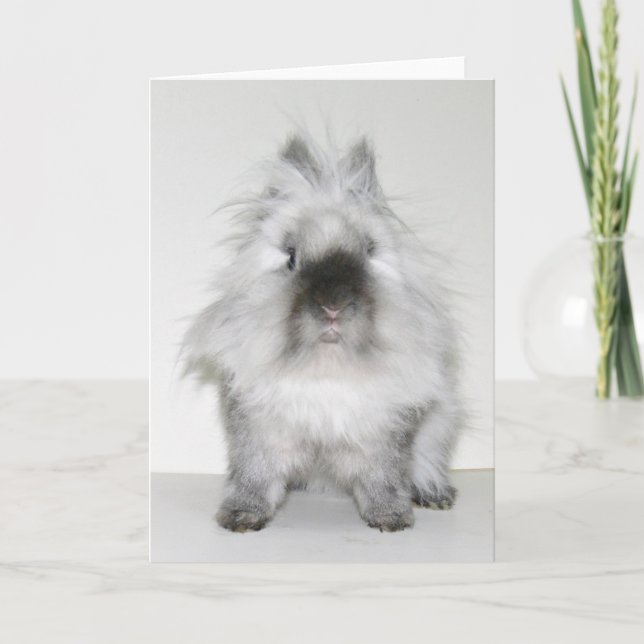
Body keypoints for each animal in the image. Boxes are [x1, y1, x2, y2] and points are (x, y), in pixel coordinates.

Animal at [183, 132, 464, 532]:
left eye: (367, 254)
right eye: (290, 257)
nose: (333, 306)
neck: (326, 369)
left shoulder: (383, 440)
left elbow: (384, 479)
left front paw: (391, 520)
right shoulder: (259, 436)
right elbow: (254, 477)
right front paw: (240, 519)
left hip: (439, 426)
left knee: (427, 464)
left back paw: (435, 496)